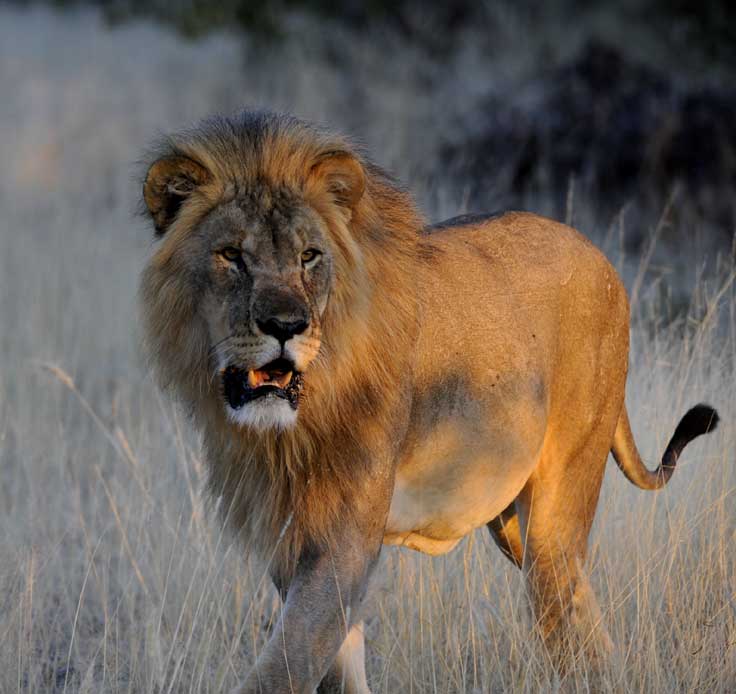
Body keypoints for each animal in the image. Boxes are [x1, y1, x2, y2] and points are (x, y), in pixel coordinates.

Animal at [139, 111, 720, 692]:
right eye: (231, 255)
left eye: (309, 257)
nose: (286, 326)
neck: (290, 426)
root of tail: (599, 255)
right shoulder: (291, 536)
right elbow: (333, 665)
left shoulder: (346, 535)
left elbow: (285, 665)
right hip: (512, 523)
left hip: (555, 516)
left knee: (573, 623)